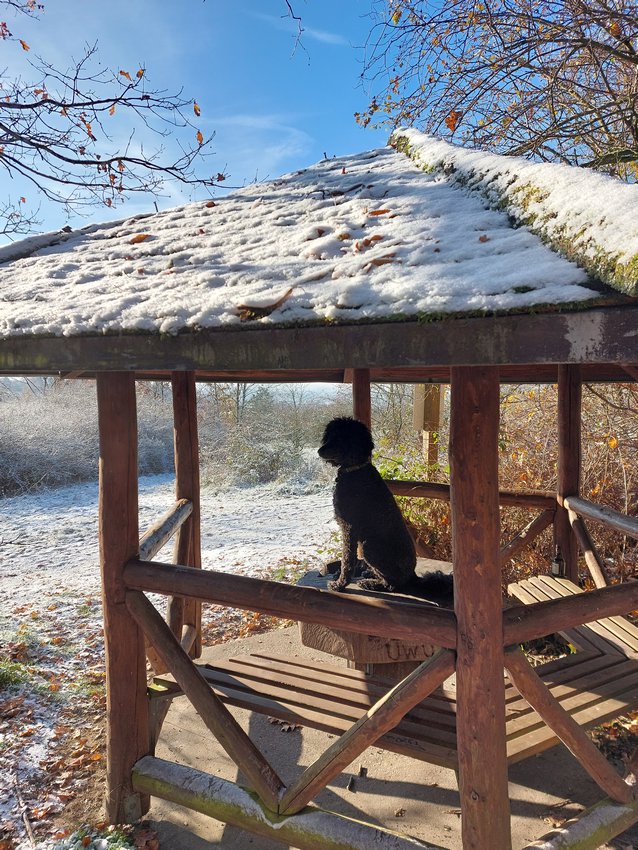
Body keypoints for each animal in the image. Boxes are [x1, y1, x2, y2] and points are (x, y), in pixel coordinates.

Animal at [320, 412, 456, 600]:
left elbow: (347, 560)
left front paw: (340, 584)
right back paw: (369, 574)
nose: (319, 451)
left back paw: (372, 583)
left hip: (370, 547)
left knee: (393, 585)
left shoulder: (349, 527)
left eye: (339, 438)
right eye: (329, 436)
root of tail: (412, 576)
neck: (356, 469)